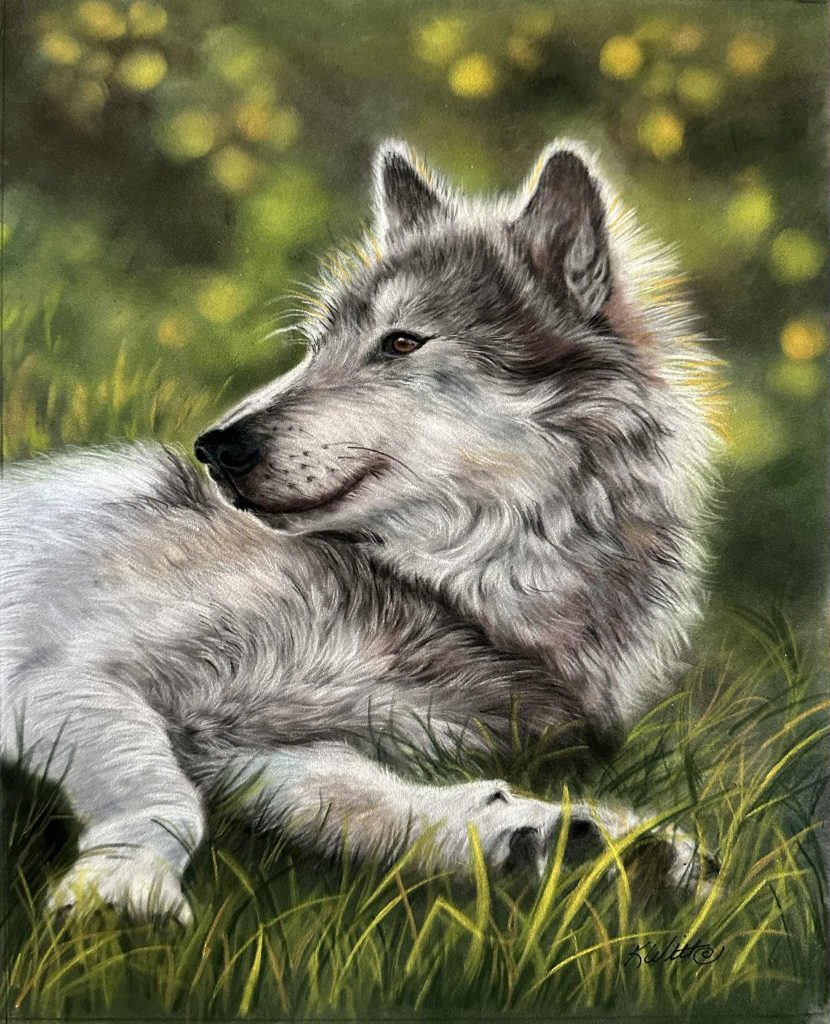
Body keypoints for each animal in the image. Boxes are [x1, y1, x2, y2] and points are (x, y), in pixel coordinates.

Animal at [1, 141, 720, 923]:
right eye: (316, 347)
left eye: (401, 343)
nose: (216, 447)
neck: (440, 596)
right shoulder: (62, 676)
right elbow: (163, 793)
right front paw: (126, 885)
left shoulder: (257, 748)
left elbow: (380, 803)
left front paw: (574, 842)